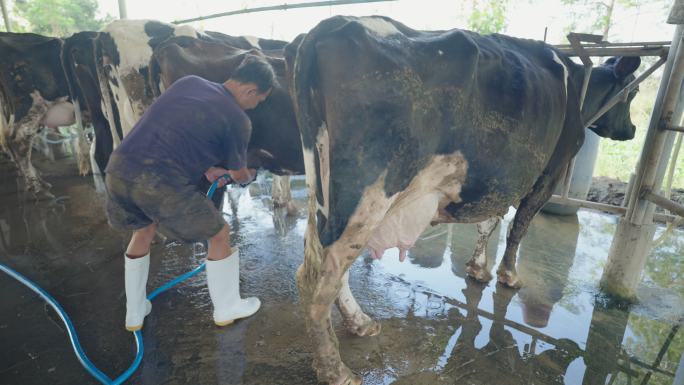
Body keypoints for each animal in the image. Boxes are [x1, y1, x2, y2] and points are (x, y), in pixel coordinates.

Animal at [288, 16, 640, 382]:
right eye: (633, 92)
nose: (632, 130)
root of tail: (329, 26)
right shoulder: (549, 173)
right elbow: (518, 227)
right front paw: (508, 275)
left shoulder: (493, 180)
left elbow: (488, 222)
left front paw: (478, 268)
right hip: (369, 192)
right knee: (320, 276)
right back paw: (335, 369)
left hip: (322, 189)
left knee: (322, 260)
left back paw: (361, 323)